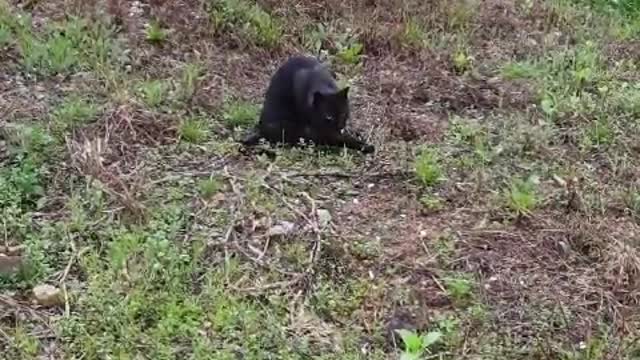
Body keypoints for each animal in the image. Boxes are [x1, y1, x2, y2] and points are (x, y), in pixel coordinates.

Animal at [241, 54, 376, 153]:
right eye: (329, 117)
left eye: (343, 114)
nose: (339, 126)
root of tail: (260, 129)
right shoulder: (322, 128)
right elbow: (339, 138)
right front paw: (364, 145)